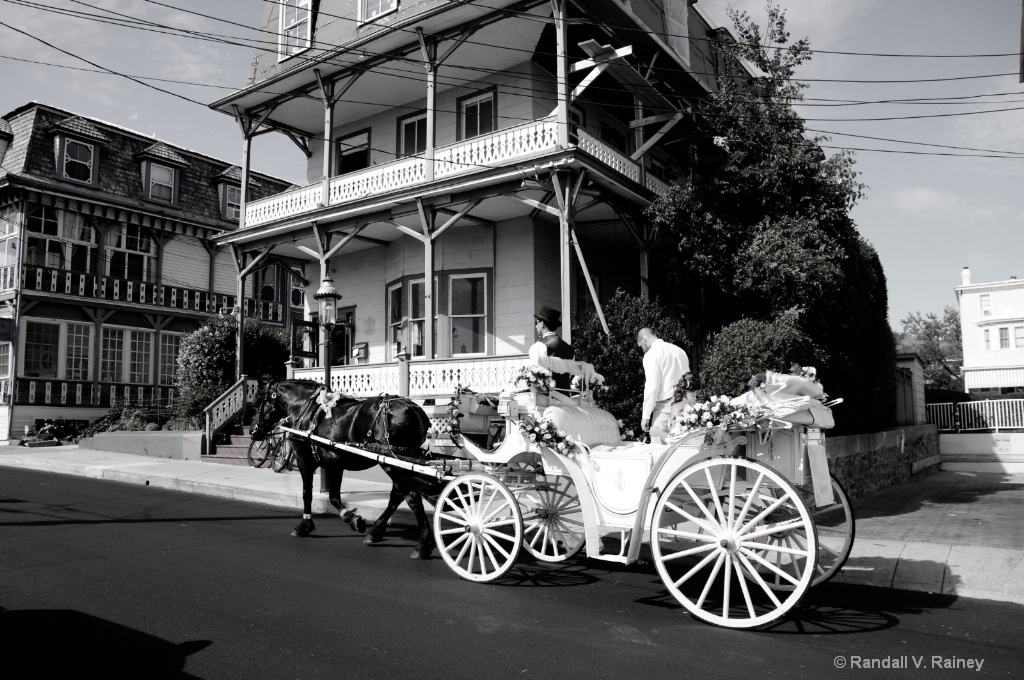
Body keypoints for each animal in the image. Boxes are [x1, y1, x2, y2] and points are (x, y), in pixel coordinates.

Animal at [253, 378, 438, 561]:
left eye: (257, 403)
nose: (254, 431)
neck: (305, 408)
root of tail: (412, 408)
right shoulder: (334, 464)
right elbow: (334, 496)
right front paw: (353, 519)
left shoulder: (304, 459)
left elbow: (307, 494)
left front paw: (305, 525)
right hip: (398, 464)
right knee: (398, 495)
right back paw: (375, 532)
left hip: (392, 463)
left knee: (411, 497)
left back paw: (423, 544)